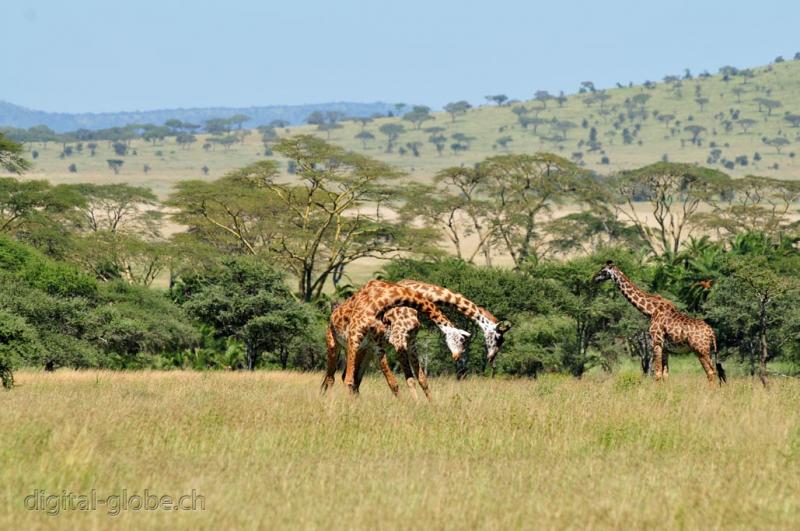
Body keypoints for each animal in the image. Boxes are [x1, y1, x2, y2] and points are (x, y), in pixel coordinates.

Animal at [320, 280, 472, 396]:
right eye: (461, 340)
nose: (457, 357)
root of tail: (332, 313)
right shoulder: (392, 341)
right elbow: (403, 381)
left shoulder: (405, 343)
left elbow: (418, 379)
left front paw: (429, 406)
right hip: (335, 344)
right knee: (333, 378)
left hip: (363, 350)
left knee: (349, 378)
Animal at [592, 264, 724, 384]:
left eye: (603, 270)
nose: (594, 278)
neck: (651, 311)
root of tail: (711, 332)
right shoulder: (665, 348)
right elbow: (665, 375)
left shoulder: (656, 342)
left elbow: (657, 374)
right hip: (708, 350)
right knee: (715, 371)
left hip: (700, 350)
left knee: (711, 372)